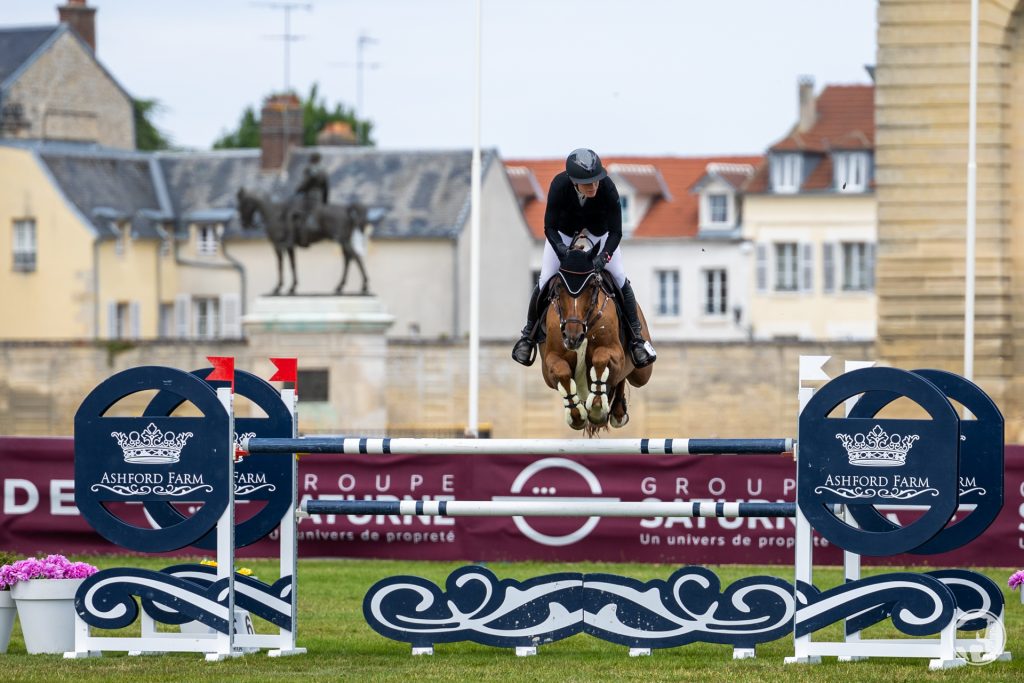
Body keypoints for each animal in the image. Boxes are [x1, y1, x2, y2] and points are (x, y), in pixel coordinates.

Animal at [540, 241, 651, 432]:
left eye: (591, 286)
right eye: (559, 286)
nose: (573, 337)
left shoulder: (615, 353)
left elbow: (601, 358)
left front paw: (597, 409)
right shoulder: (549, 365)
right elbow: (562, 371)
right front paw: (576, 414)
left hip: (642, 374)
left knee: (624, 377)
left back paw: (617, 412)